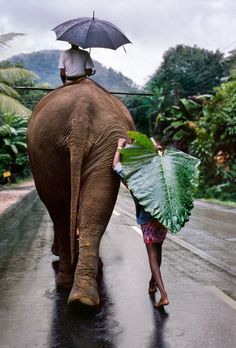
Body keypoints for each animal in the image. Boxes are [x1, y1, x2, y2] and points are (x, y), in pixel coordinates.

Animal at [26, 78, 136, 308]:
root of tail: (80, 114)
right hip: (52, 142)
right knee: (70, 208)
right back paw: (80, 296)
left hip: (61, 141)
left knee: (61, 208)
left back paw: (74, 289)